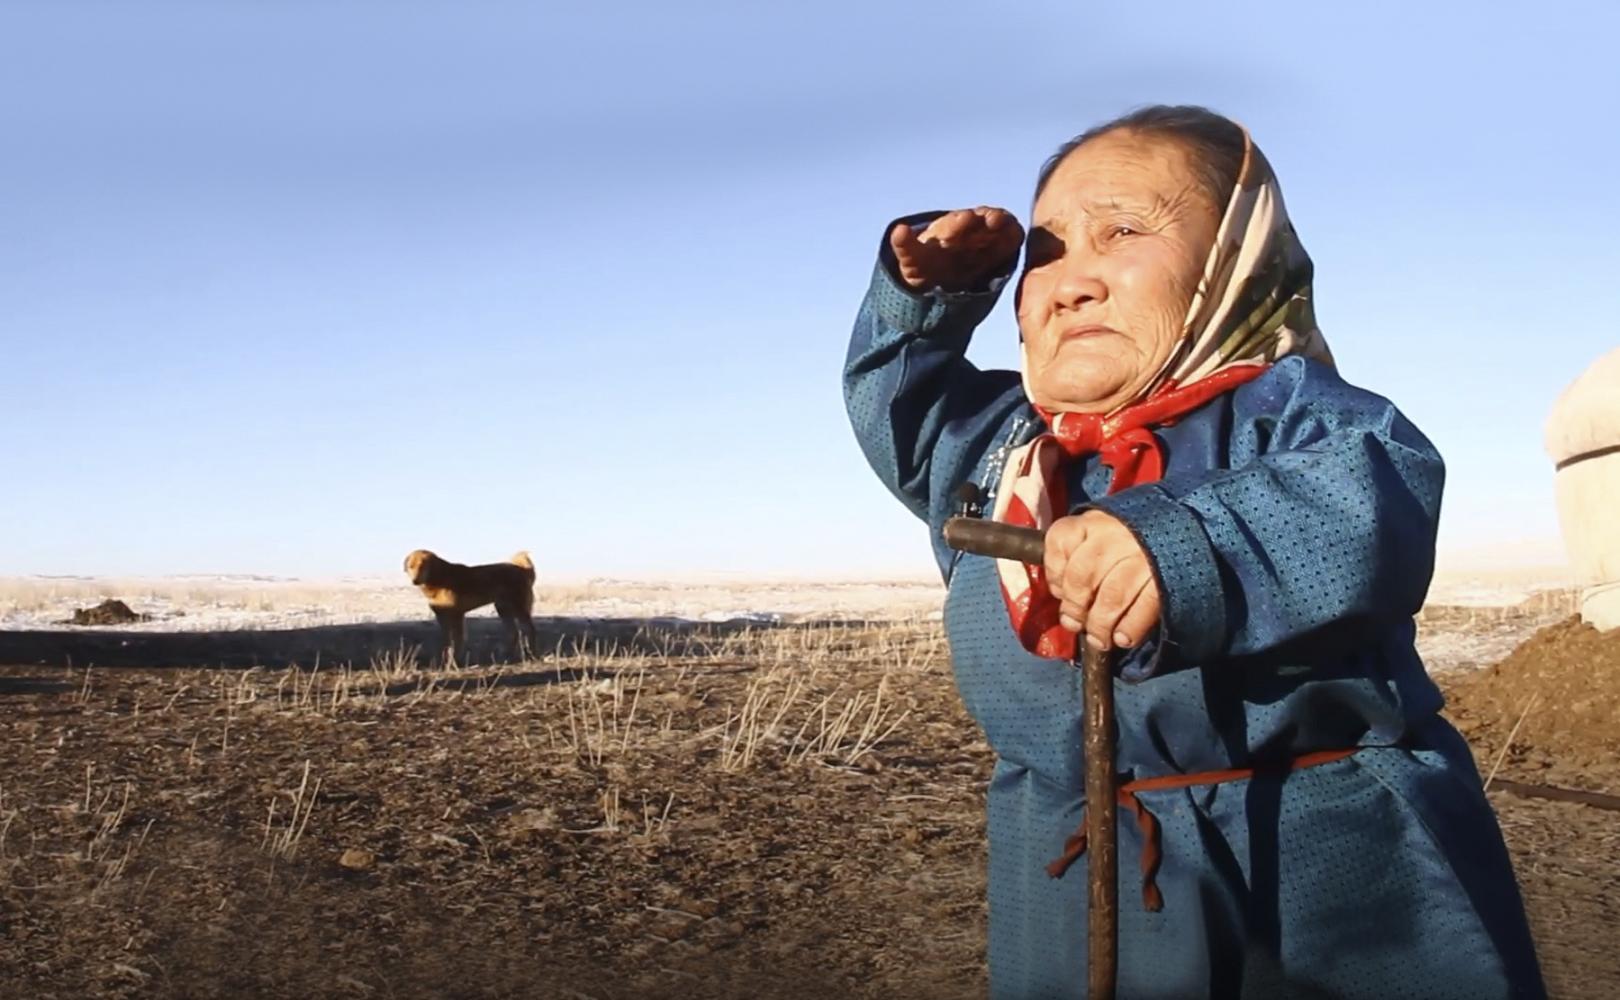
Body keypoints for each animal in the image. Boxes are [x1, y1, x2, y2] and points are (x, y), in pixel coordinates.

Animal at [401, 551, 541, 667]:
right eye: (411, 567)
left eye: (422, 566)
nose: (414, 580)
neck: (439, 579)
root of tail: (522, 570)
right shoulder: (441, 616)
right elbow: (447, 641)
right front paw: (445, 661)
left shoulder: (457, 614)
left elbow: (457, 640)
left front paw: (455, 661)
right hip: (503, 609)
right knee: (513, 633)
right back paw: (507, 656)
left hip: (519, 608)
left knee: (530, 629)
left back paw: (532, 654)